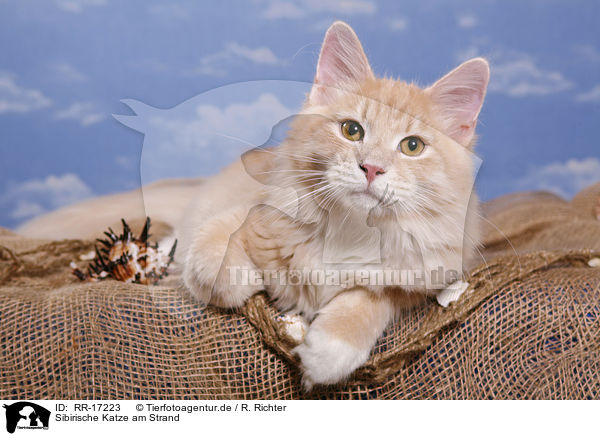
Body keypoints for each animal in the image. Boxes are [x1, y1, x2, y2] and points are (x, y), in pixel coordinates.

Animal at [178, 21, 488, 388]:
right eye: (351, 130)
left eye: (412, 146)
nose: (372, 168)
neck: (350, 230)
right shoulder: (260, 206)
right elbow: (213, 243)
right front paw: (236, 279)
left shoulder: (417, 283)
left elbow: (370, 301)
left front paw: (329, 350)